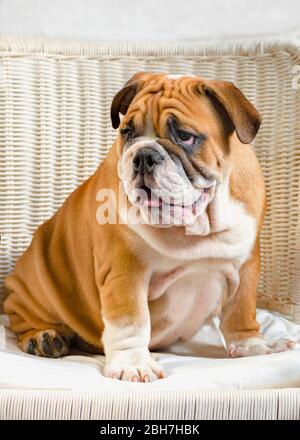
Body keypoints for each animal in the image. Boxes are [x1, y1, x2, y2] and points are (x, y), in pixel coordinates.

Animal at [2, 72, 292, 382]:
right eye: (128, 133)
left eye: (185, 136)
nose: (143, 156)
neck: (196, 225)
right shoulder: (125, 272)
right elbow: (131, 322)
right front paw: (134, 364)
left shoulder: (246, 266)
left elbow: (241, 311)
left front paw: (253, 345)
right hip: (36, 282)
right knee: (20, 314)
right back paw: (43, 337)